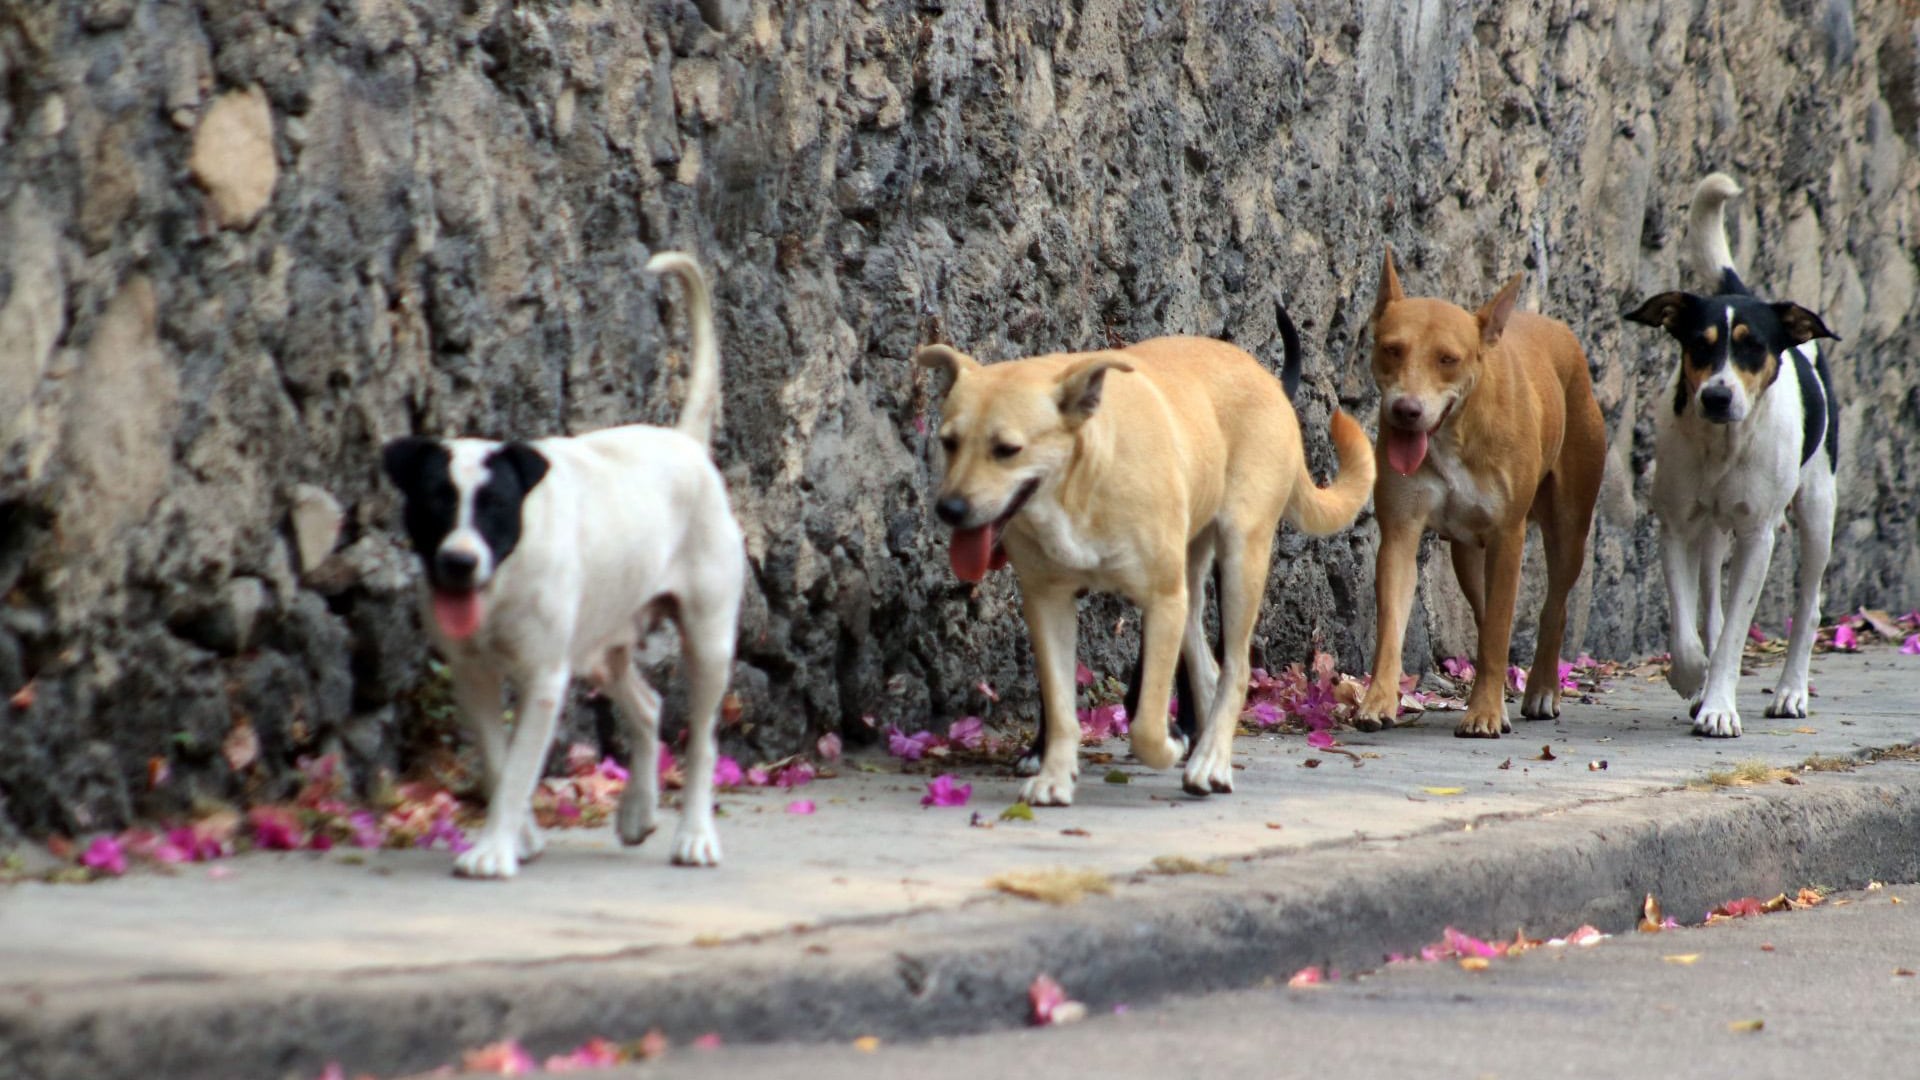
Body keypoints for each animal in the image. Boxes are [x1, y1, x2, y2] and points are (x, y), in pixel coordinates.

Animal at [382, 251, 741, 876]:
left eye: (496, 507)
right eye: (435, 504)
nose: (458, 562)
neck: (503, 580)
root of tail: (686, 444)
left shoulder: (543, 680)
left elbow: (519, 769)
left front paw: (495, 849)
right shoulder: (472, 677)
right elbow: (499, 763)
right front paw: (518, 837)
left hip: (707, 641)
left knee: (701, 740)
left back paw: (695, 834)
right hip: (601, 646)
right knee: (647, 707)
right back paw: (637, 809)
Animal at [917, 332, 1382, 803]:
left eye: (1007, 450)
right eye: (948, 442)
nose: (949, 509)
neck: (1081, 479)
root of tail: (1266, 378)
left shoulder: (1161, 601)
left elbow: (1145, 724)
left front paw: (1167, 745)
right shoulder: (1048, 602)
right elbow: (1062, 707)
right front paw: (1053, 776)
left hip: (1239, 560)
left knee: (1234, 670)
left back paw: (1210, 761)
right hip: (1190, 574)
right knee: (1207, 664)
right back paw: (1203, 748)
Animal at [1359, 247, 1612, 734]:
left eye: (1448, 359)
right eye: (1392, 349)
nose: (1405, 410)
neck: (1454, 432)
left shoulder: (1508, 536)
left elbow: (1498, 630)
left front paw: (1484, 713)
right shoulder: (1400, 532)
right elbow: (1390, 626)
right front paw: (1377, 701)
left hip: (1569, 526)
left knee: (1554, 605)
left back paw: (1542, 689)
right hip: (1467, 554)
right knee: (1482, 608)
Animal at [1628, 171, 1835, 734]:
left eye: (1752, 347)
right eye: (1699, 345)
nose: (1717, 397)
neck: (1722, 446)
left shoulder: (1757, 536)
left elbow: (1735, 634)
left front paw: (1718, 707)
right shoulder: (1676, 526)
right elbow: (1688, 625)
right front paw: (1691, 676)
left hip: (1817, 508)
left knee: (1809, 605)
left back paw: (1790, 692)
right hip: (1711, 529)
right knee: (1710, 604)